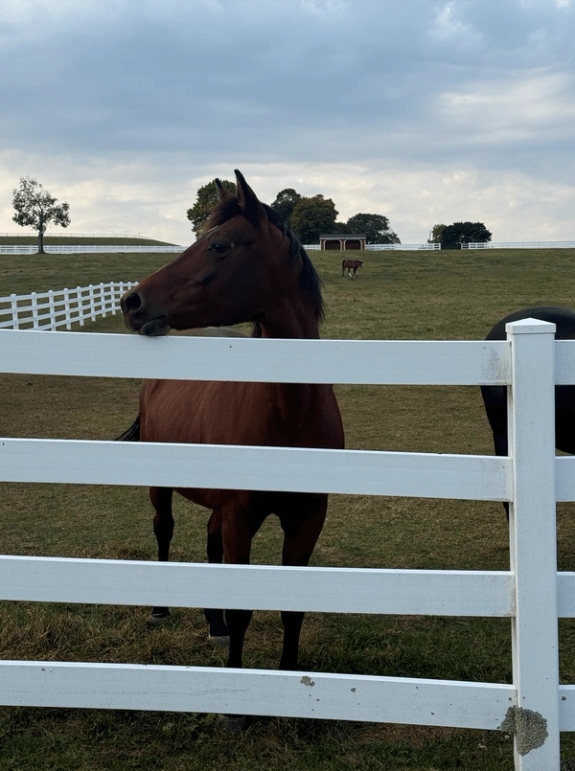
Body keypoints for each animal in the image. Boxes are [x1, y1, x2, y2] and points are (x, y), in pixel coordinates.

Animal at [120, 172, 344, 672]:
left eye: (219, 246)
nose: (132, 301)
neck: (289, 414)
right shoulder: (241, 516)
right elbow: (243, 607)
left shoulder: (306, 519)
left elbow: (291, 609)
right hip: (162, 483)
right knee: (164, 528)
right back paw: (161, 609)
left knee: (209, 543)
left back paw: (214, 622)